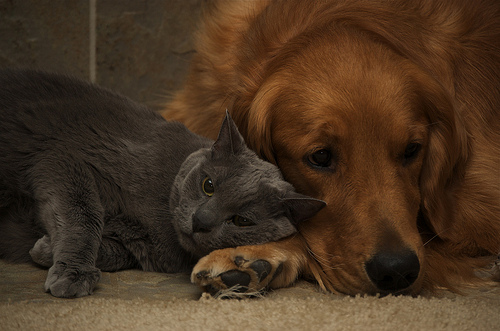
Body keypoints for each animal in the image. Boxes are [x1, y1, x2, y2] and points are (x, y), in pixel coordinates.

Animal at [0, 69, 324, 298]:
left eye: (242, 221)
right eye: (208, 185)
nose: (200, 220)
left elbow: (120, 252)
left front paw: (44, 250)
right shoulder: (65, 158)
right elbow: (84, 215)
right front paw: (73, 274)